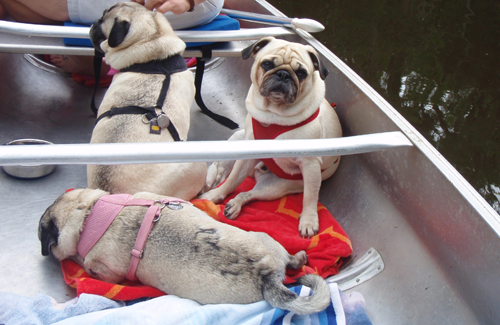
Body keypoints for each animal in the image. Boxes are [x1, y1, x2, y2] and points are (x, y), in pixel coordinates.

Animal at [37, 187, 330, 314]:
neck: (89, 214)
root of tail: (265, 274)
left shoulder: (105, 271)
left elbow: (89, 266)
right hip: (266, 238)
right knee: (292, 262)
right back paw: (300, 258)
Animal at [201, 37, 342, 235]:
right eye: (267, 64)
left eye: (301, 73)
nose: (283, 74)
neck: (274, 114)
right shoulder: (246, 154)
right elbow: (233, 180)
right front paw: (216, 194)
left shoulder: (310, 164)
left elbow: (310, 197)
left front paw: (308, 220)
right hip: (238, 138)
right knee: (224, 169)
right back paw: (215, 177)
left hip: (274, 187)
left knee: (248, 193)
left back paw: (235, 204)